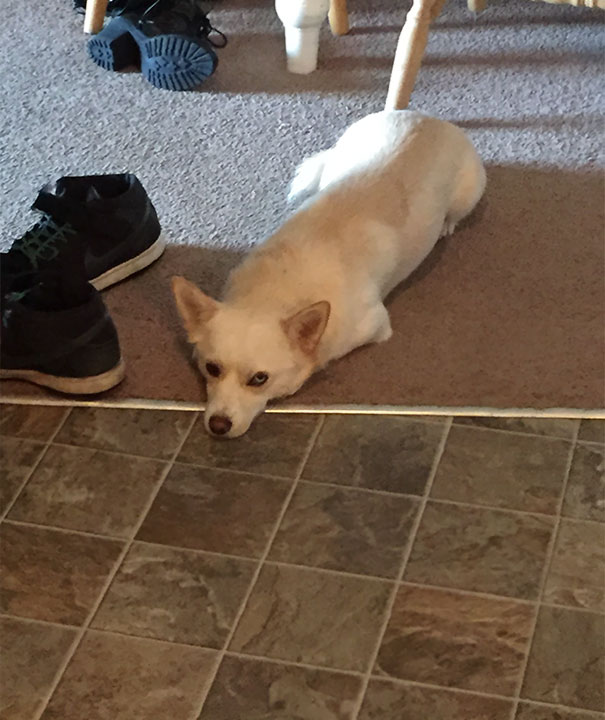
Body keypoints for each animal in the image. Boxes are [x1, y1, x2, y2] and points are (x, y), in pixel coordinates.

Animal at [172, 109, 484, 436]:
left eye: (260, 379)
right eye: (211, 368)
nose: (218, 426)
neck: (277, 290)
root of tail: (424, 117)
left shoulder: (376, 327)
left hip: (467, 194)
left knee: (455, 213)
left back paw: (447, 225)